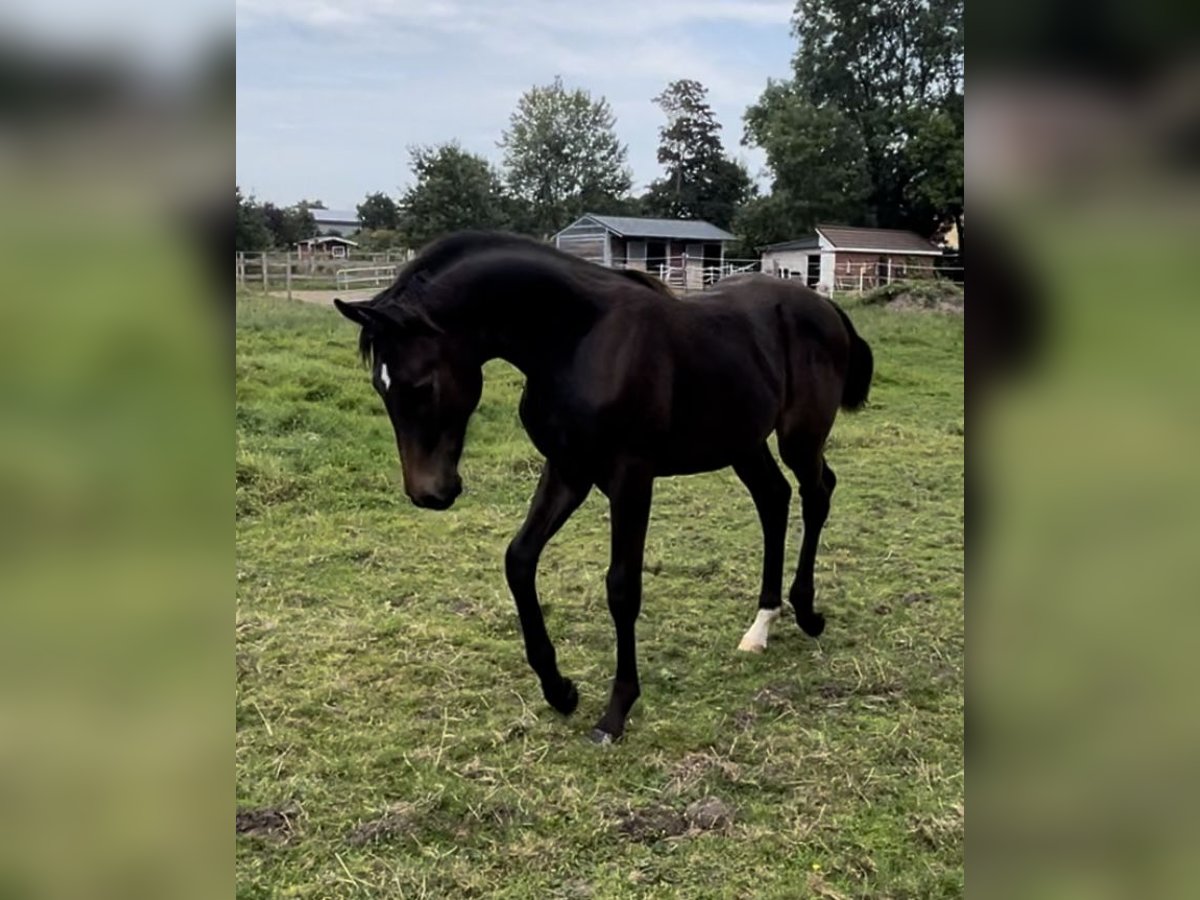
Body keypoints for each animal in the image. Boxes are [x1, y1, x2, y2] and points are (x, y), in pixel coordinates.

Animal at [333, 232, 878, 748]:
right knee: (774, 499)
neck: (577, 340)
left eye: (421, 385)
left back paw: (807, 612)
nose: (429, 494)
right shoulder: (568, 470)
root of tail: (828, 309)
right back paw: (760, 627)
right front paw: (560, 690)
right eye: (380, 387)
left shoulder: (629, 477)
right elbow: (519, 560)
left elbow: (622, 587)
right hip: (742, 441)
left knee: (816, 493)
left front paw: (615, 713)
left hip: (799, 436)